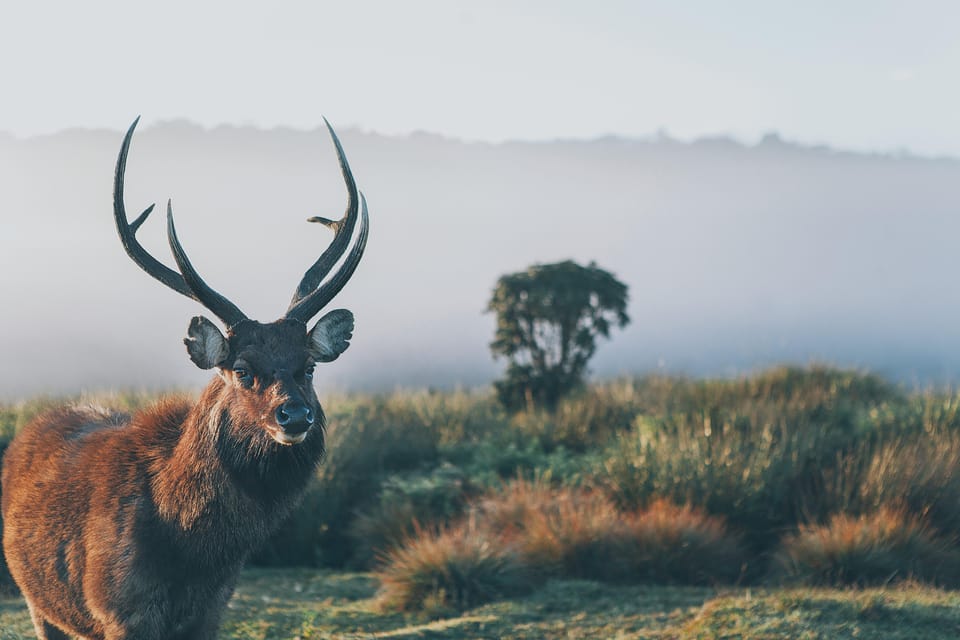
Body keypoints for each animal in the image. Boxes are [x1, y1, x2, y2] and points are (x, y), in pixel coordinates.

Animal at [1, 116, 370, 640]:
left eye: (310, 367)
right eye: (242, 371)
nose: (295, 416)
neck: (194, 554)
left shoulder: (212, 610)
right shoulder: (118, 611)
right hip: (39, 604)